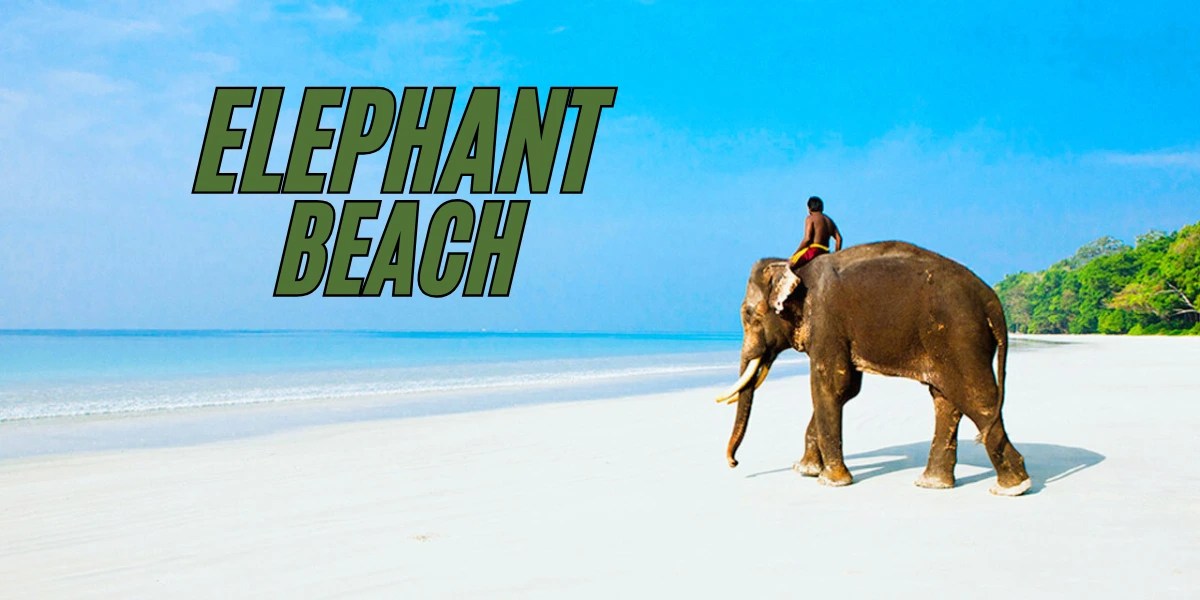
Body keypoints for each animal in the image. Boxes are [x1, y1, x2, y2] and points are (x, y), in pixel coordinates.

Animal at [716, 241, 1031, 496]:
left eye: (748, 314)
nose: (733, 463)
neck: (795, 266)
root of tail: (992, 302)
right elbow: (847, 390)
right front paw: (805, 470)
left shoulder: (826, 321)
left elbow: (829, 386)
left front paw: (831, 481)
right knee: (945, 399)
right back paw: (933, 484)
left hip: (960, 337)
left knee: (978, 400)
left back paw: (1012, 488)